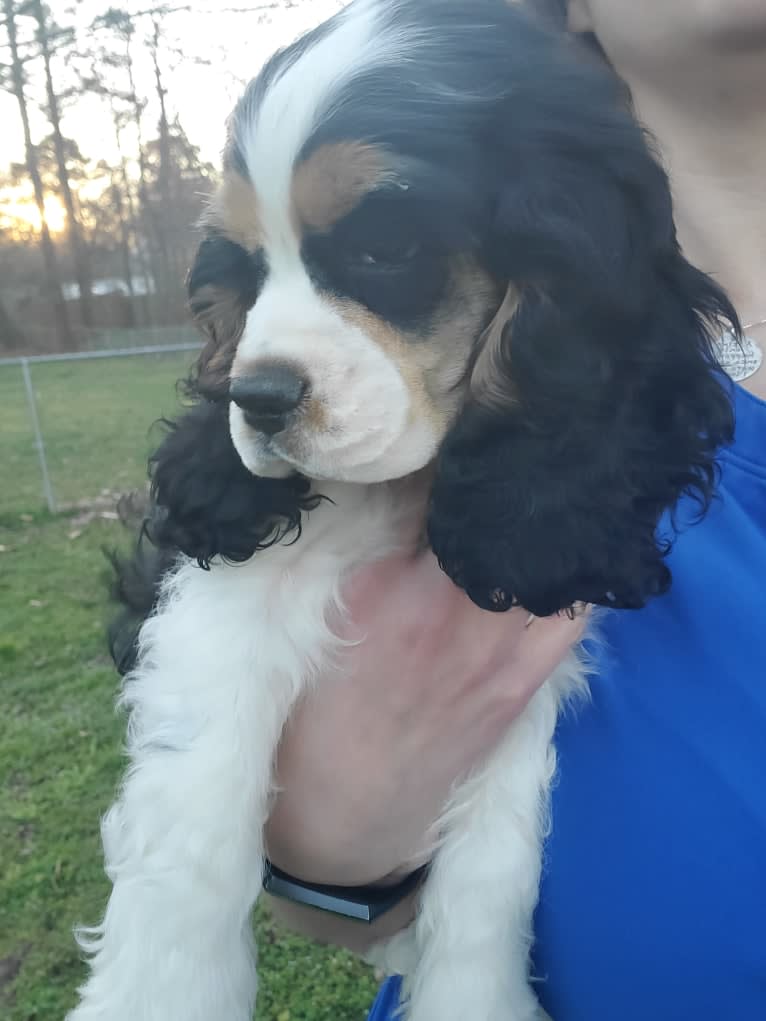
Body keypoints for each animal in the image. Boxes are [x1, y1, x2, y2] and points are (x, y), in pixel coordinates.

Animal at [68, 1, 735, 1021]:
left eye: (384, 250)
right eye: (245, 269)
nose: (253, 397)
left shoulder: (524, 684)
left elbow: (490, 876)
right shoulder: (223, 604)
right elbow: (194, 820)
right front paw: (162, 991)